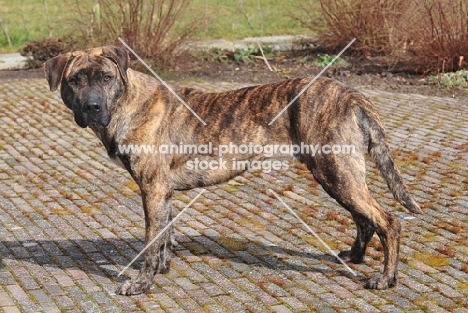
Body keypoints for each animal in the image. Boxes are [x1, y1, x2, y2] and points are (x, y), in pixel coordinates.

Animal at [44, 45, 422, 294]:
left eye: (107, 78)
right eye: (75, 80)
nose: (93, 107)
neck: (128, 104)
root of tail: (353, 94)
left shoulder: (151, 188)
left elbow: (150, 244)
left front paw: (140, 283)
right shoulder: (163, 192)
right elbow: (165, 236)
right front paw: (163, 269)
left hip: (336, 172)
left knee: (388, 222)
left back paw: (386, 279)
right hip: (340, 174)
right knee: (365, 219)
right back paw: (355, 257)